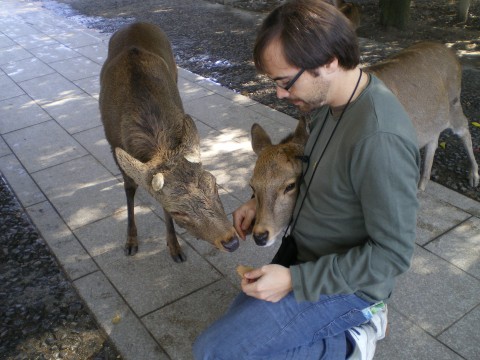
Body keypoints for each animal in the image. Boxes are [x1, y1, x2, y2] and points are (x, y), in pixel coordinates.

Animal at [100, 21, 240, 262]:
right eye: (178, 211)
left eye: (214, 184)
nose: (231, 241)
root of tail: (135, 23)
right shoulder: (114, 146)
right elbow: (129, 188)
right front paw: (131, 241)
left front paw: (174, 247)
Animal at [249, 40, 478, 246]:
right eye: (252, 185)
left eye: (290, 185)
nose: (260, 235)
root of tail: (452, 54)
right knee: (433, 138)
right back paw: (421, 185)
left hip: (454, 104)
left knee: (465, 127)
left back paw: (473, 176)